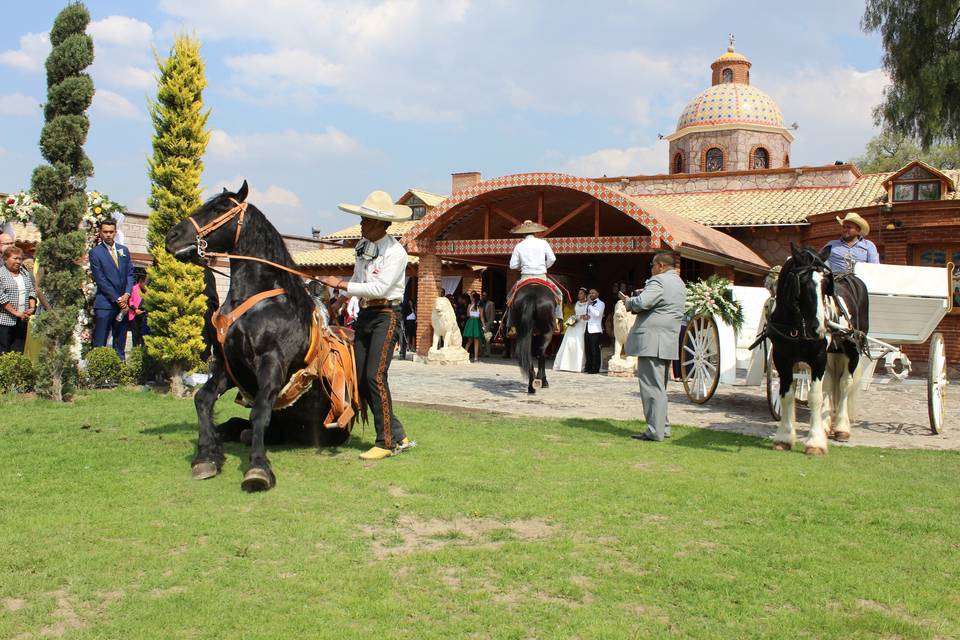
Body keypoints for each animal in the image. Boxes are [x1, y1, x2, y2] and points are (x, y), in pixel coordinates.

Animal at [167, 182, 350, 492]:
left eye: (219, 209)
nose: (172, 236)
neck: (259, 303)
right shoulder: (230, 366)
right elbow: (202, 400)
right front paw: (206, 454)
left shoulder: (272, 363)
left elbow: (260, 411)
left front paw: (258, 469)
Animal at [764, 244, 872, 456]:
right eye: (801, 282)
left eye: (825, 284)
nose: (820, 328)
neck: (796, 325)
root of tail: (850, 276)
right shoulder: (782, 358)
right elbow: (786, 395)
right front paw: (784, 437)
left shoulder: (818, 358)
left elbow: (814, 397)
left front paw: (815, 442)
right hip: (832, 354)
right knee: (830, 384)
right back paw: (826, 425)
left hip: (852, 348)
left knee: (844, 385)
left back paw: (841, 428)